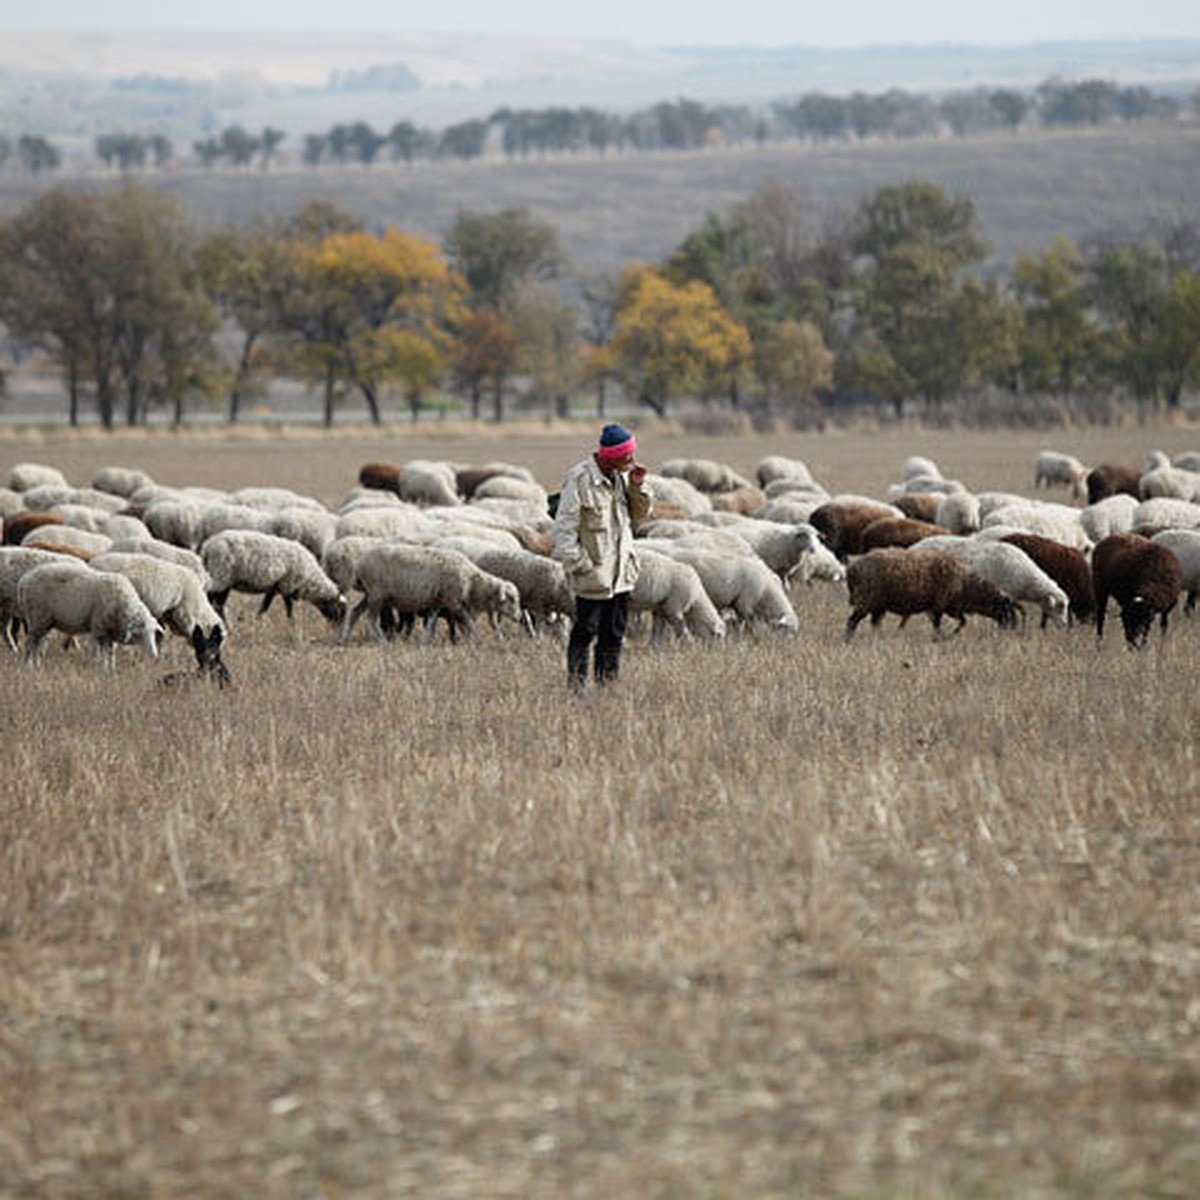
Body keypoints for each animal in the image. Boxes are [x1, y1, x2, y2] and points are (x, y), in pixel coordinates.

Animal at [17, 561, 162, 667]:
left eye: (153, 632)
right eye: (141, 631)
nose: (154, 655)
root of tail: (25, 580)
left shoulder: (110, 632)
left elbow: (110, 654)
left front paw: (110, 671)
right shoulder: (99, 629)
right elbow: (99, 654)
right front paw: (98, 668)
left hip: (44, 622)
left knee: (38, 645)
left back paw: (37, 666)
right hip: (37, 618)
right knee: (30, 644)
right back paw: (27, 666)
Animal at [90, 552, 226, 676]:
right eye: (217, 641)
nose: (216, 662)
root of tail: (93, 562)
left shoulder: (161, 615)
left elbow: (160, 637)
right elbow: (159, 638)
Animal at [202, 532, 348, 628]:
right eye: (340, 611)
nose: (338, 629)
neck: (309, 579)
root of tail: (207, 547)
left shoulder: (275, 586)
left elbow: (265, 605)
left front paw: (258, 620)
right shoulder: (287, 584)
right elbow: (288, 607)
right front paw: (291, 624)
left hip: (221, 579)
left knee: (215, 603)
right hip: (222, 577)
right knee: (215, 603)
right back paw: (224, 625)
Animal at [840, 549, 1017, 643]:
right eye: (1006, 608)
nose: (1012, 628)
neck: (966, 584)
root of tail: (851, 569)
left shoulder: (948, 608)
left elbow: (962, 621)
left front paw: (946, 636)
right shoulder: (941, 606)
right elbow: (943, 624)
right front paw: (942, 637)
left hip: (877, 605)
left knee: (874, 624)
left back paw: (880, 639)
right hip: (866, 600)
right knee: (852, 621)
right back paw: (847, 641)